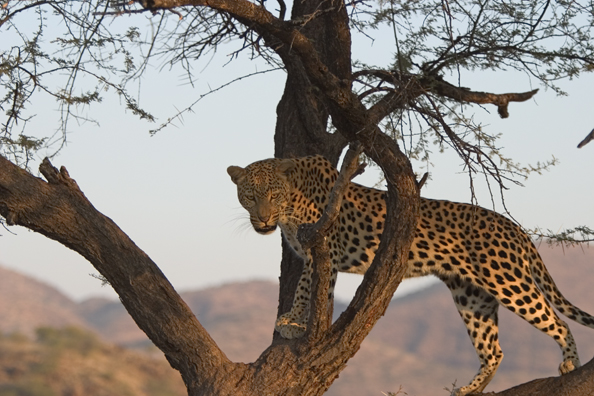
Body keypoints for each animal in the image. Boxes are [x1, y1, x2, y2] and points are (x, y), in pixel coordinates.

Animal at [227, 155, 592, 396]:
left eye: (273, 194)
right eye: (249, 196)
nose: (262, 220)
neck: (292, 199)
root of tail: (515, 228)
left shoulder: (322, 248)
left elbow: (306, 287)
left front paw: (292, 322)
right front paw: (300, 322)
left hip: (508, 281)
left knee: (558, 322)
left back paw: (570, 365)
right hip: (472, 298)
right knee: (493, 350)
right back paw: (470, 390)